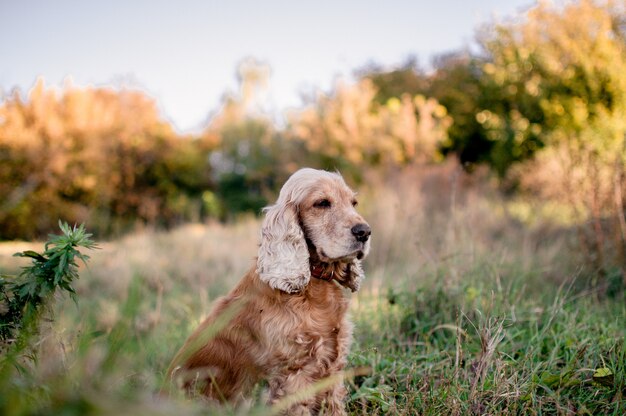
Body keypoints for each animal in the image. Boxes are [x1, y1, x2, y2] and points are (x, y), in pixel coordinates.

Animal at [168, 167, 368, 414]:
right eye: (322, 203)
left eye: (354, 203)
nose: (365, 232)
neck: (312, 285)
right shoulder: (294, 376)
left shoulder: (333, 366)